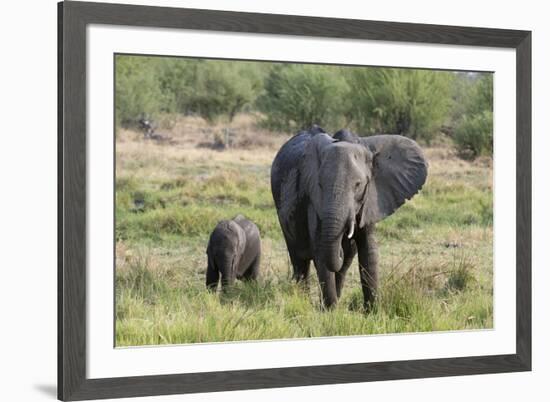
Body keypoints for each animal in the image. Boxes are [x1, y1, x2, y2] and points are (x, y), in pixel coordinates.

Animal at [272, 127, 432, 310]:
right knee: (299, 260)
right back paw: (304, 300)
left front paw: (373, 311)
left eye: (358, 185)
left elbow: (369, 251)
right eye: (320, 185)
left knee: (343, 265)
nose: (341, 245)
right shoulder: (314, 201)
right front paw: (331, 312)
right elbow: (320, 249)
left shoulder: (371, 198)